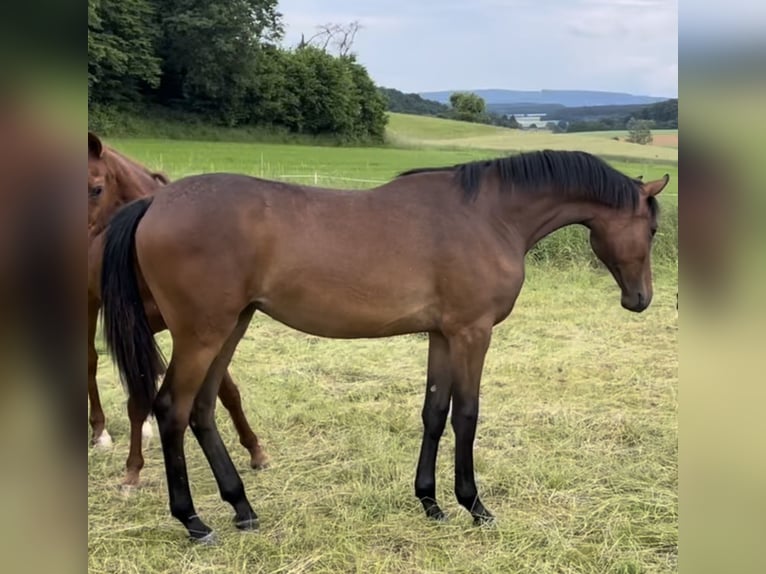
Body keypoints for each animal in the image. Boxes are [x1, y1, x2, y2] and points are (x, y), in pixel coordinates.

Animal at [88, 130, 268, 486]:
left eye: (96, 188)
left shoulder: (197, 326)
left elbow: (227, 390)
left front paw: (255, 449)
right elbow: (139, 397)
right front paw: (132, 470)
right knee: (89, 364)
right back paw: (100, 432)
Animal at [100, 151, 664, 544]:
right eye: (654, 228)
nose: (640, 300)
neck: (489, 215)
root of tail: (155, 202)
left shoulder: (442, 335)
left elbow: (435, 412)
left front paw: (430, 502)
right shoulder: (472, 333)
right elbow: (467, 415)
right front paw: (474, 505)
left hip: (230, 327)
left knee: (202, 410)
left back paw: (242, 508)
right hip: (202, 333)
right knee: (171, 410)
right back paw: (193, 520)